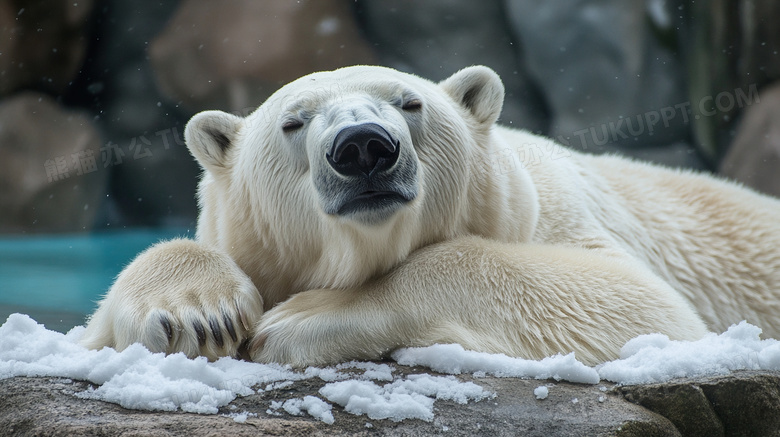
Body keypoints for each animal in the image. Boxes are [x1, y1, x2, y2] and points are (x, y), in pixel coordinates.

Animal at [79, 65, 780, 364]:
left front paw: (296, 320)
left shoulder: (559, 215)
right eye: (294, 121)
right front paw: (200, 316)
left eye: (409, 103)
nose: (363, 146)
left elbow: (637, 305)